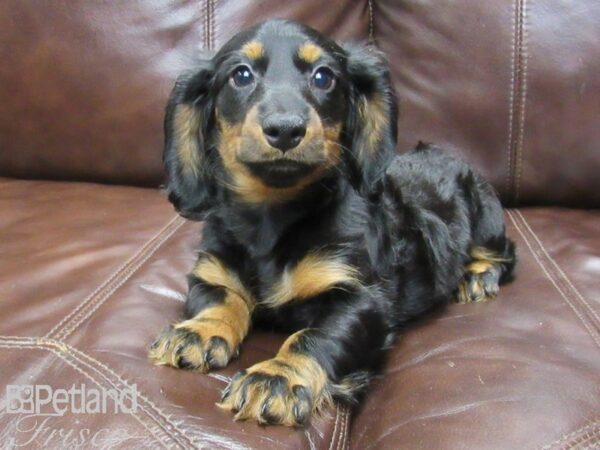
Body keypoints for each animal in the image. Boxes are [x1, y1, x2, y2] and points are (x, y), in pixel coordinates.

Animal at [149, 19, 516, 428]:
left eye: (323, 77)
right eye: (240, 75)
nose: (285, 129)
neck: (273, 215)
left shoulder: (361, 298)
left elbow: (314, 336)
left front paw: (276, 377)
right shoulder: (213, 272)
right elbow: (221, 298)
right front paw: (197, 331)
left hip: (486, 215)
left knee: (504, 254)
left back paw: (477, 277)